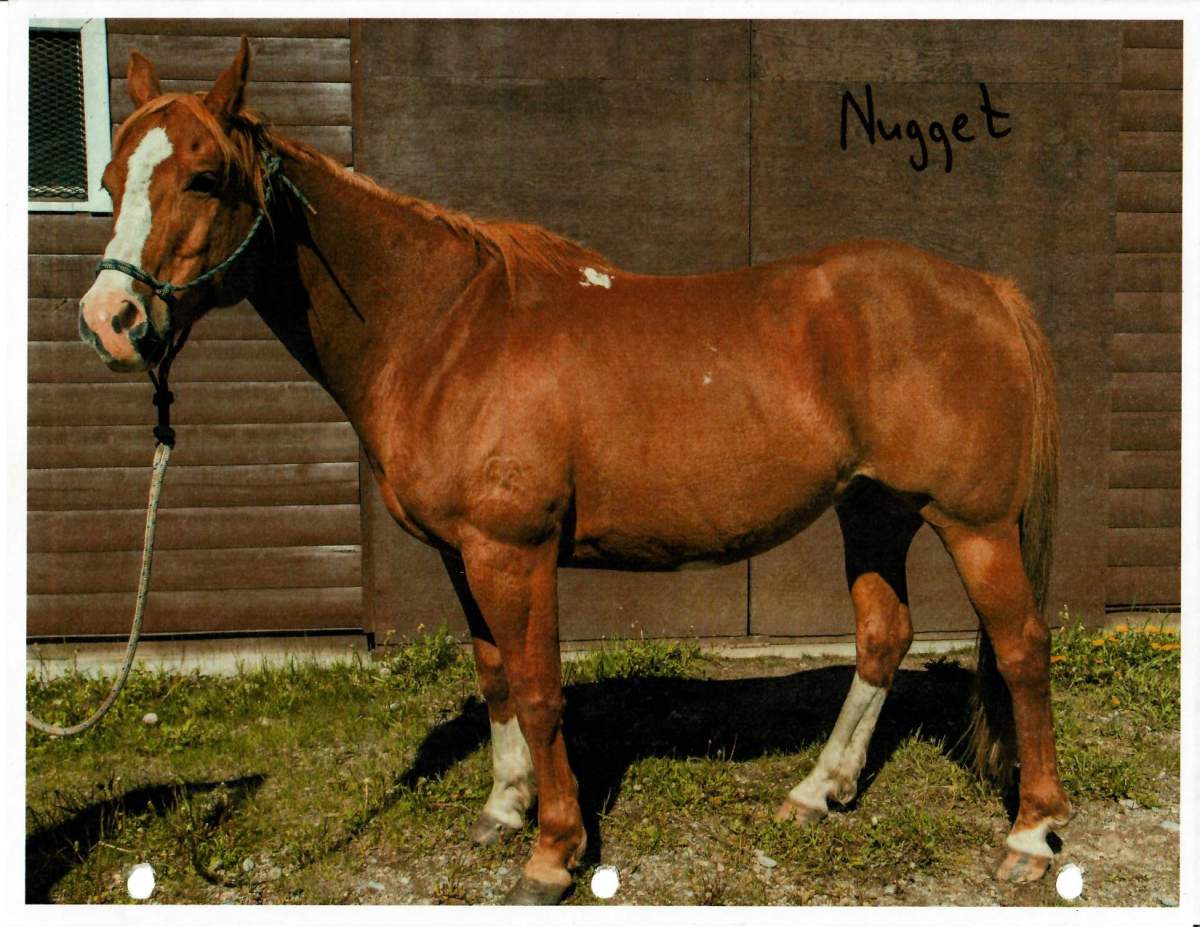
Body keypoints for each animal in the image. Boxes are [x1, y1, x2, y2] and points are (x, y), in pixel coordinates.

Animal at [77, 38, 1072, 904]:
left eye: (204, 177)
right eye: (112, 181)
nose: (109, 321)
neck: (444, 331)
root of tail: (985, 290)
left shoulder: (513, 551)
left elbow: (540, 689)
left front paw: (553, 852)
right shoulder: (463, 555)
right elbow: (496, 679)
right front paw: (503, 808)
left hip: (974, 525)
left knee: (1023, 650)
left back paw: (1030, 835)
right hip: (873, 509)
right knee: (882, 637)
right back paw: (817, 791)